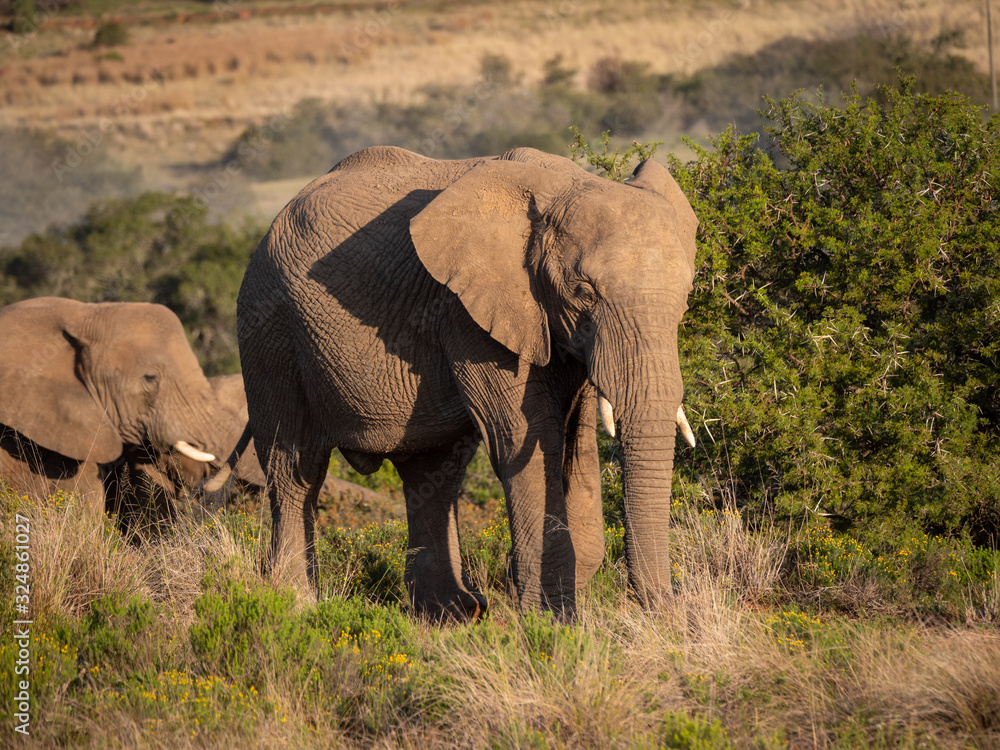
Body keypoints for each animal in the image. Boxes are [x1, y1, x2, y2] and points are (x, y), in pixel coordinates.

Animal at [229, 147, 696, 624]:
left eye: (687, 295)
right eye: (584, 291)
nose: (668, 609)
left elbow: (576, 441)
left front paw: (550, 606)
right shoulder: (470, 314)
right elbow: (526, 439)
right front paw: (547, 622)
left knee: (433, 473)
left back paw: (452, 613)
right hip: (269, 329)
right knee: (294, 468)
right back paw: (295, 604)